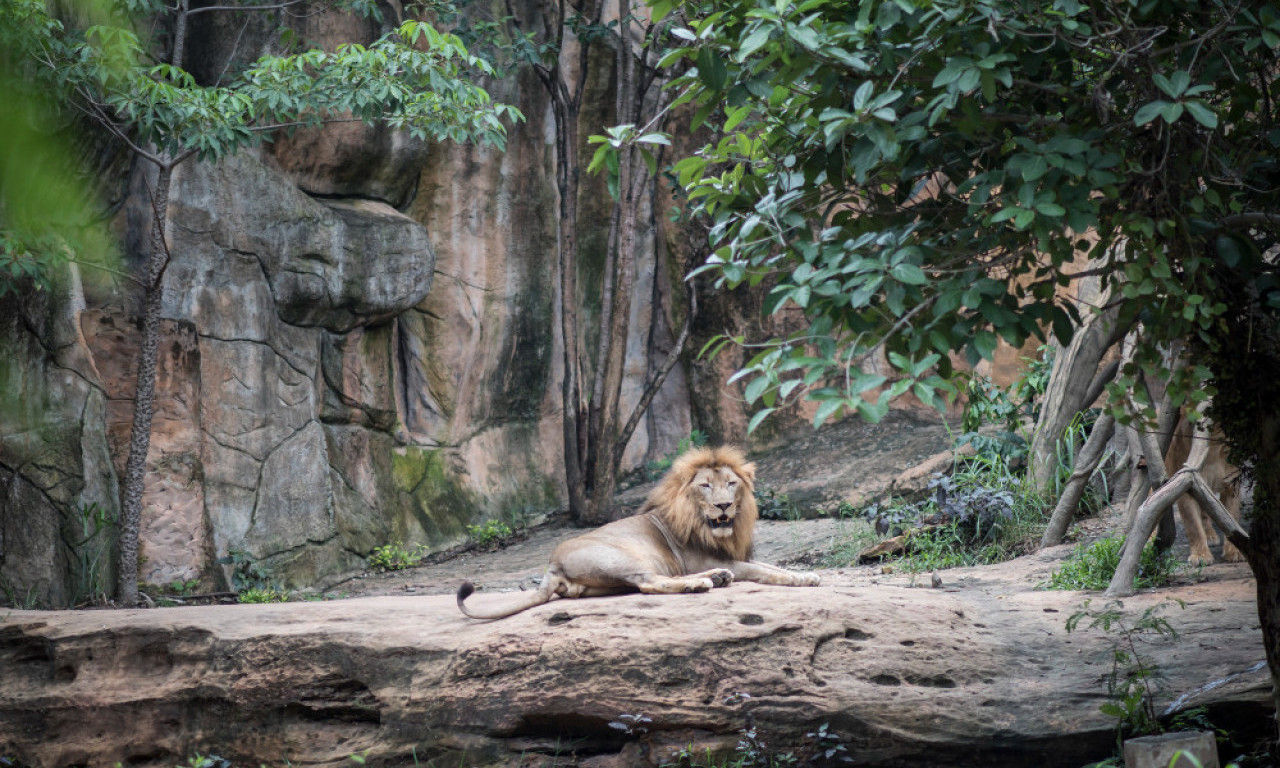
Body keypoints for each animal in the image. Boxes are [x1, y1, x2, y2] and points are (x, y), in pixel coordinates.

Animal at [458, 448, 819, 622]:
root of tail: (551, 567)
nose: (724, 506)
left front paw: (807, 575)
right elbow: (764, 571)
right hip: (625, 557)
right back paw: (703, 583)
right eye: (705, 485)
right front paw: (802, 579)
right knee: (649, 583)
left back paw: (717, 577)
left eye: (731, 483)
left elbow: (771, 566)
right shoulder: (713, 559)